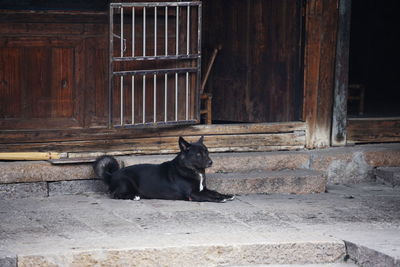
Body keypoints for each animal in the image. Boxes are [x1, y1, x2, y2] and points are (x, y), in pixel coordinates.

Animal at [93, 138, 234, 203]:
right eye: (198, 154)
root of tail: (111, 175)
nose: (211, 162)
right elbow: (208, 197)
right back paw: (134, 197)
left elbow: (214, 192)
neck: (191, 169)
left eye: (207, 152)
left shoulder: (203, 189)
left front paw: (225, 195)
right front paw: (220, 199)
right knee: (116, 195)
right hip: (126, 182)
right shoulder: (193, 194)